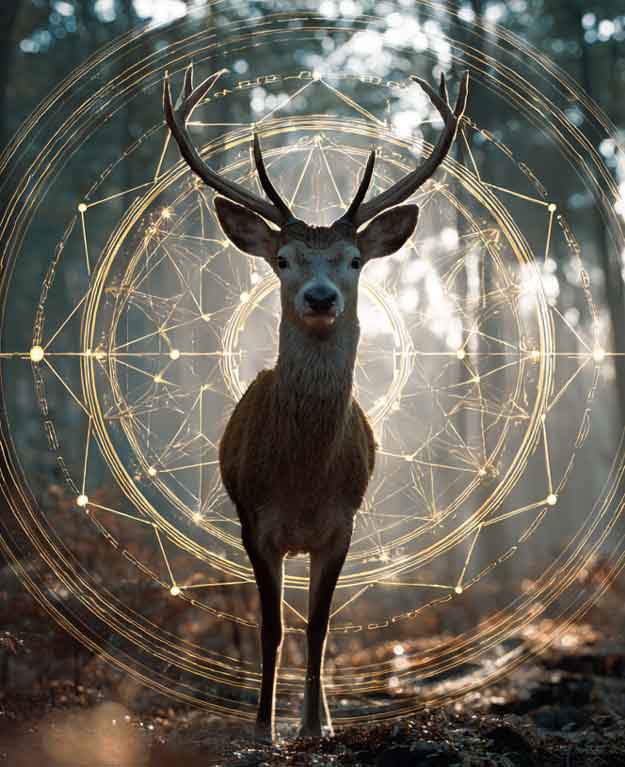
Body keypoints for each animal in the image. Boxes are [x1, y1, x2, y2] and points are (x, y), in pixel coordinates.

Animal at [163, 66, 468, 742]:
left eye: (354, 259)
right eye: (282, 259)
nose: (322, 297)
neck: (302, 479)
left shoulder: (341, 526)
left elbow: (320, 627)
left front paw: (313, 727)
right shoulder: (256, 522)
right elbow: (273, 628)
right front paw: (263, 728)